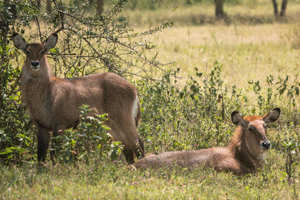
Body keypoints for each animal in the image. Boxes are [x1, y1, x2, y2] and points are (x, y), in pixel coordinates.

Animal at [11, 32, 144, 164]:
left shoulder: (59, 125)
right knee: (127, 147)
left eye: (42, 51)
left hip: (124, 120)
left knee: (138, 143)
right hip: (112, 126)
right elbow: (40, 154)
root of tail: (133, 89)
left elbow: (54, 152)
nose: (35, 63)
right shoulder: (42, 126)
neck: (46, 91)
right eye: (27, 51)